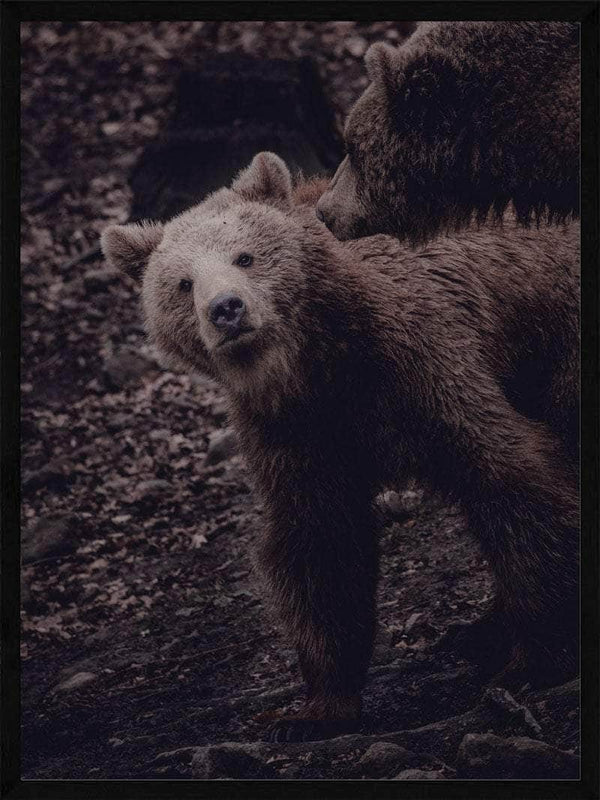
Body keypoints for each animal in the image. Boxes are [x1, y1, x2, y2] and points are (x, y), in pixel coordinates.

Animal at [101, 152, 580, 744]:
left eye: (245, 256)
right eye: (183, 282)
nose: (227, 309)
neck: (319, 358)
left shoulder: (424, 363)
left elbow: (509, 476)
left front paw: (535, 658)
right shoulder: (296, 430)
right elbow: (320, 541)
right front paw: (312, 709)